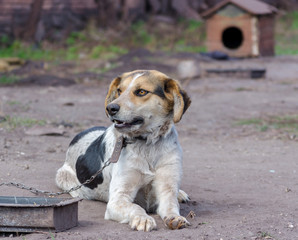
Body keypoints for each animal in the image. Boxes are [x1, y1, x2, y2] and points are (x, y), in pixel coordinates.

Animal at [55, 69, 191, 231]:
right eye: (119, 91)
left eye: (141, 92)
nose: (110, 108)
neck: (148, 144)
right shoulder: (118, 199)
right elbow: (136, 207)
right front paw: (143, 218)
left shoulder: (167, 189)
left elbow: (171, 205)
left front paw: (175, 218)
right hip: (63, 177)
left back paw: (181, 194)